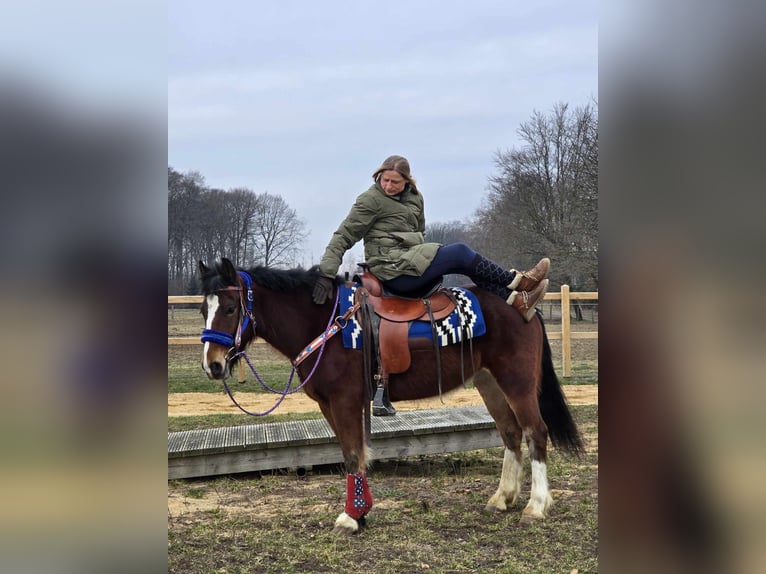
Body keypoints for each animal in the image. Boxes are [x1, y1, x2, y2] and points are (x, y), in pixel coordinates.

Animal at [196, 258, 584, 536]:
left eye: (230, 308)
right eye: (203, 309)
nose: (213, 365)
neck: (325, 322)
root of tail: (523, 307)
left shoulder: (345, 401)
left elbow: (353, 455)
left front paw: (350, 517)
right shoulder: (329, 404)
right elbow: (350, 452)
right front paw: (360, 512)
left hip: (517, 383)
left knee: (535, 432)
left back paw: (535, 506)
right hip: (489, 382)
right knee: (511, 434)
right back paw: (502, 498)